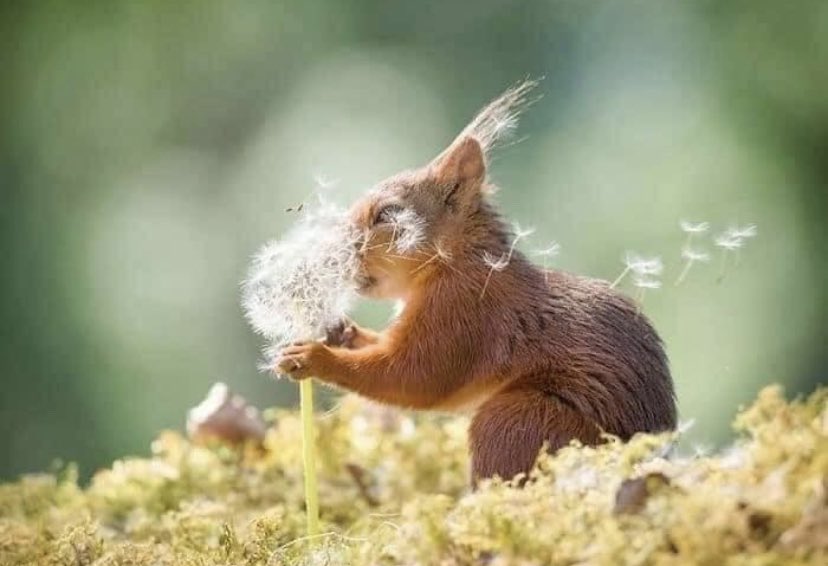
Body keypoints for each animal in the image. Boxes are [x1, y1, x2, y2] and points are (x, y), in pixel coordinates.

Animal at [277, 81, 677, 483]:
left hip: (517, 419)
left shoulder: (464, 311)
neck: (455, 261)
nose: (333, 252)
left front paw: (314, 358)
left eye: (388, 214)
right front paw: (340, 332)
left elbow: (414, 376)